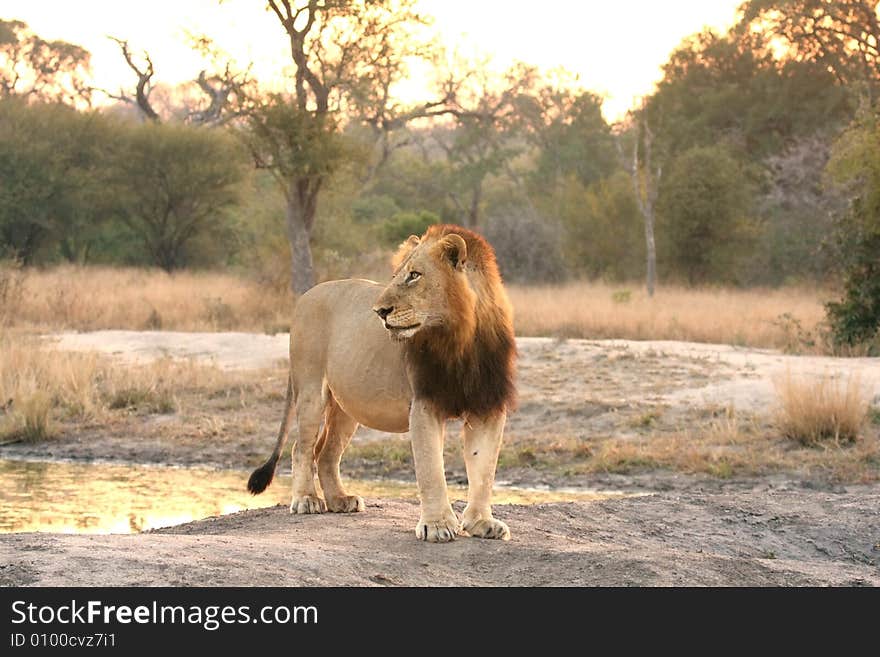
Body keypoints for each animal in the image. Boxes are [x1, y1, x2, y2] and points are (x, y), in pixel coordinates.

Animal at [244, 223, 516, 540]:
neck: (463, 340)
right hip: (311, 389)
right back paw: (306, 500)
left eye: (414, 275)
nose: (380, 311)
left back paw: (340, 500)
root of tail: (305, 295)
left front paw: (482, 523)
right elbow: (431, 469)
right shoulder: (424, 404)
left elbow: (484, 470)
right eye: (396, 275)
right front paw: (436, 525)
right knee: (302, 447)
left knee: (326, 452)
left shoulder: (488, 406)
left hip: (346, 407)